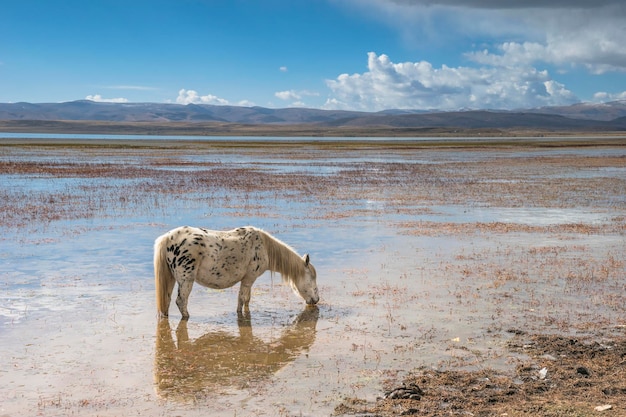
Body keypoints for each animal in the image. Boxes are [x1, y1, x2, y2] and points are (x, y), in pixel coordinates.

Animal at [152, 224, 316, 318]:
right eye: (313, 278)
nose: (316, 300)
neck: (264, 248)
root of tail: (168, 238)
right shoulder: (249, 278)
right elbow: (243, 299)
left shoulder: (248, 281)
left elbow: (246, 299)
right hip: (186, 280)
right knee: (181, 301)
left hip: (172, 279)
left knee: (167, 301)